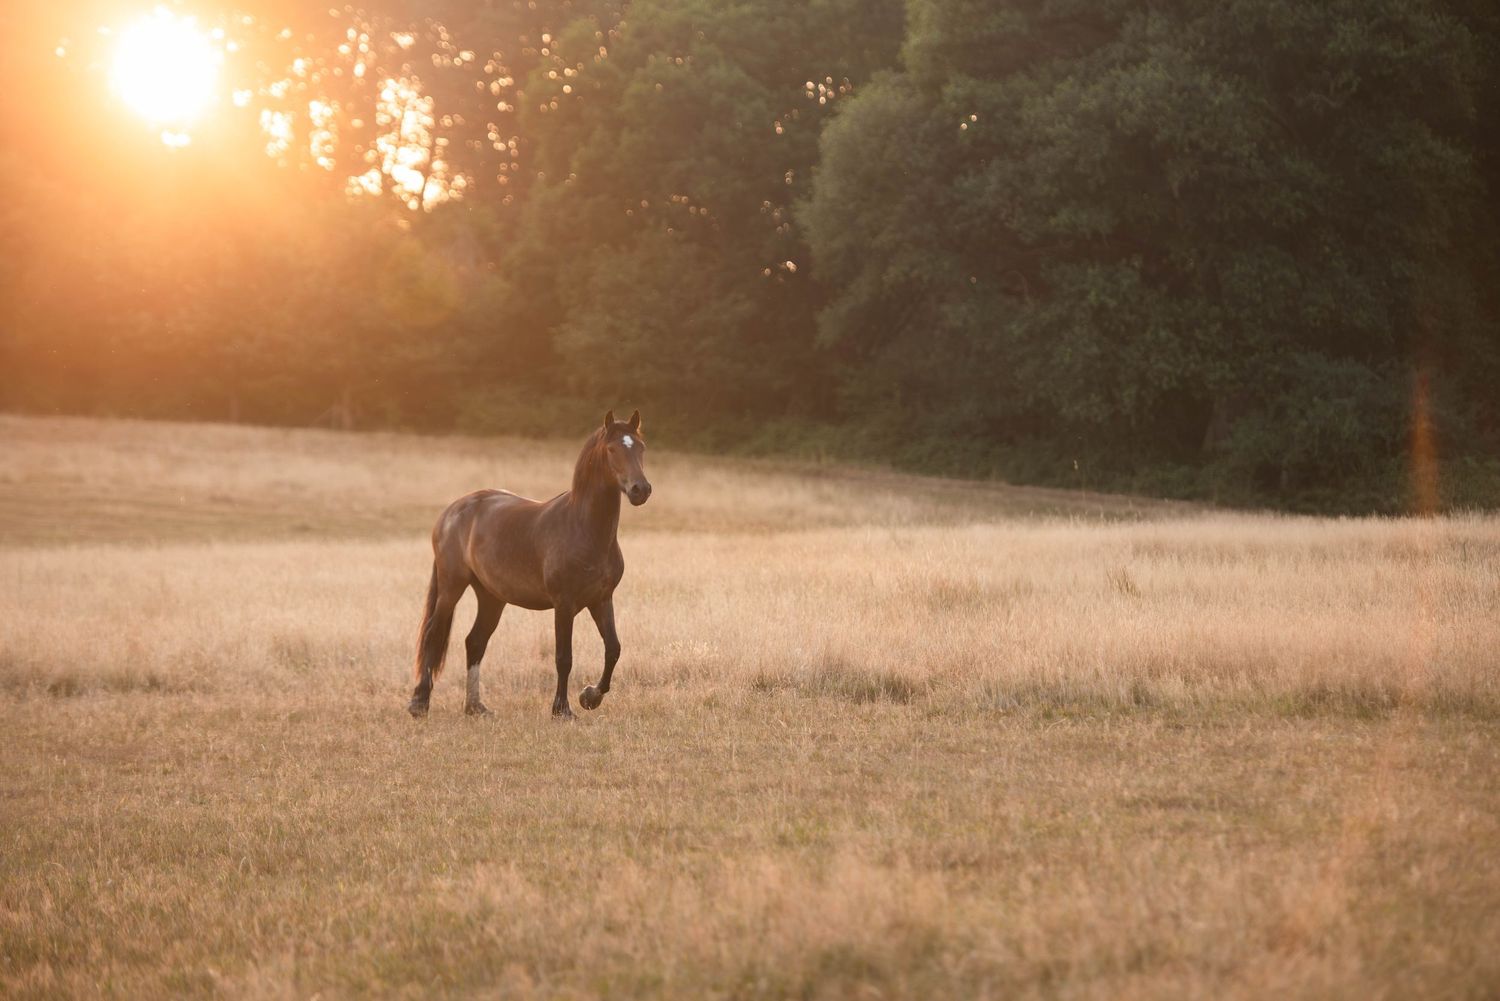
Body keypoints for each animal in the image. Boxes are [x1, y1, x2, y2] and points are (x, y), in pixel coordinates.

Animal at [407, 410, 652, 719]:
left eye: (640, 447)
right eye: (612, 449)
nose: (640, 489)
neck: (583, 528)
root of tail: (451, 511)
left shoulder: (601, 599)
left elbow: (613, 649)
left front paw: (590, 696)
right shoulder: (564, 604)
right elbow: (564, 657)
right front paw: (562, 710)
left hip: (491, 597)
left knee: (475, 642)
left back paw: (475, 707)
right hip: (452, 587)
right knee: (433, 634)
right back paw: (419, 703)